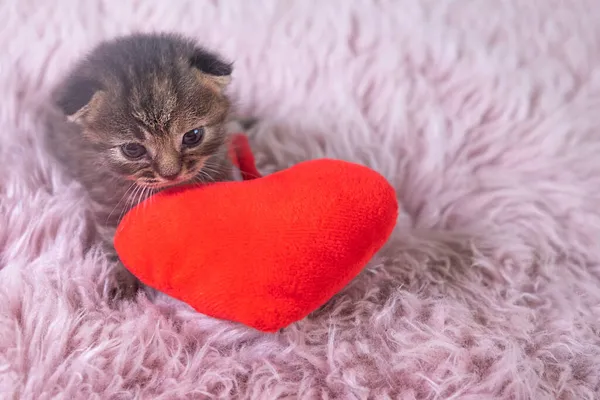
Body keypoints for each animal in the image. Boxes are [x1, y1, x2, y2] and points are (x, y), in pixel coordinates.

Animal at [45, 32, 237, 300]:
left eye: (193, 136)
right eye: (133, 150)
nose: (171, 174)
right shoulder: (105, 197)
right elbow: (117, 238)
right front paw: (125, 279)